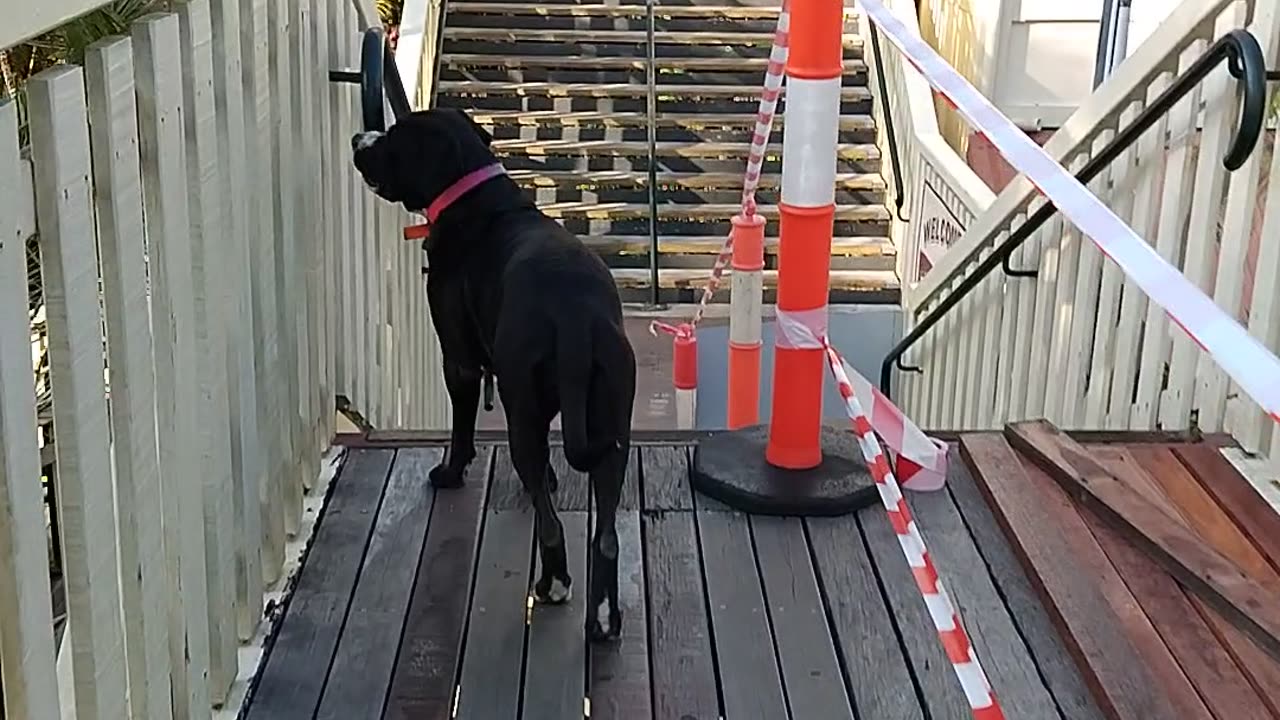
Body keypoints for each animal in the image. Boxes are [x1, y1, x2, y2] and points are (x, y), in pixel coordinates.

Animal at [350, 107, 634, 638]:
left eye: (394, 138)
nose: (360, 137)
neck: (474, 194)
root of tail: (575, 317)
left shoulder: (459, 360)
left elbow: (462, 428)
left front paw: (449, 472)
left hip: (521, 411)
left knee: (551, 524)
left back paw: (553, 584)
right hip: (612, 429)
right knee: (605, 535)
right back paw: (605, 618)